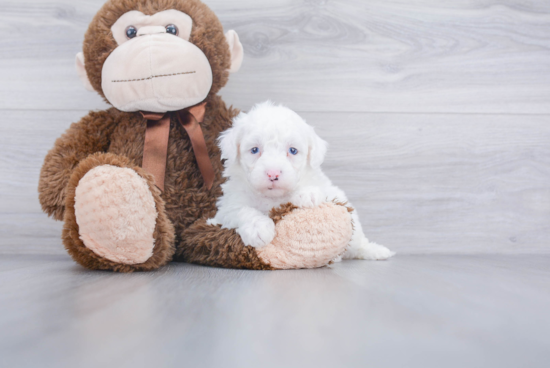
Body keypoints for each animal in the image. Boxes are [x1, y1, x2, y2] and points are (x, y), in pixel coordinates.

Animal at [208, 102, 396, 260]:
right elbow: (243, 211)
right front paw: (258, 229)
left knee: (357, 243)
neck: (273, 198)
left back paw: (373, 251)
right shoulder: (228, 206)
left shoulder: (325, 188)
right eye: (254, 150)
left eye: (293, 150)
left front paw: (307, 194)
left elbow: (316, 190)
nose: (273, 173)